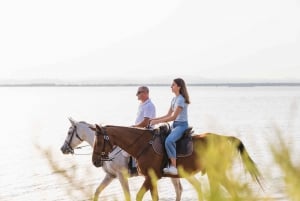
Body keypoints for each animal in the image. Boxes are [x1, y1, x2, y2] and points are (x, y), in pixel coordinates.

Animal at [91, 123, 262, 200]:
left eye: (98, 142)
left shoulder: (150, 177)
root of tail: (225, 138)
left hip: (217, 173)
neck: (143, 144)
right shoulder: (152, 179)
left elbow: (139, 196)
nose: (94, 161)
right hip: (213, 174)